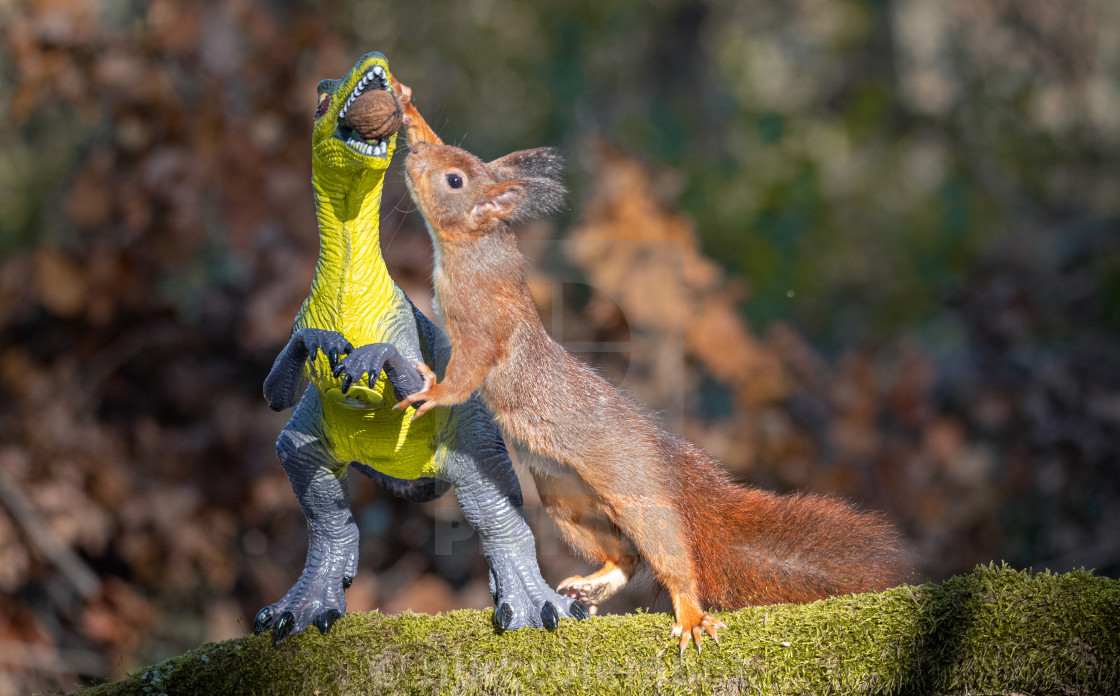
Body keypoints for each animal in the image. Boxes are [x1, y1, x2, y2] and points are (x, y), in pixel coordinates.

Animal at [392, 86, 909, 650]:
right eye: (450, 156)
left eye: (454, 180)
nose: (413, 157)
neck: (470, 249)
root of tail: (666, 460)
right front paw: (408, 110)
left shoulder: (486, 326)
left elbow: (469, 371)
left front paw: (432, 394)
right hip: (569, 500)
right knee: (626, 555)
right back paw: (593, 585)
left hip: (638, 496)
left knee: (669, 557)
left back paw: (690, 614)